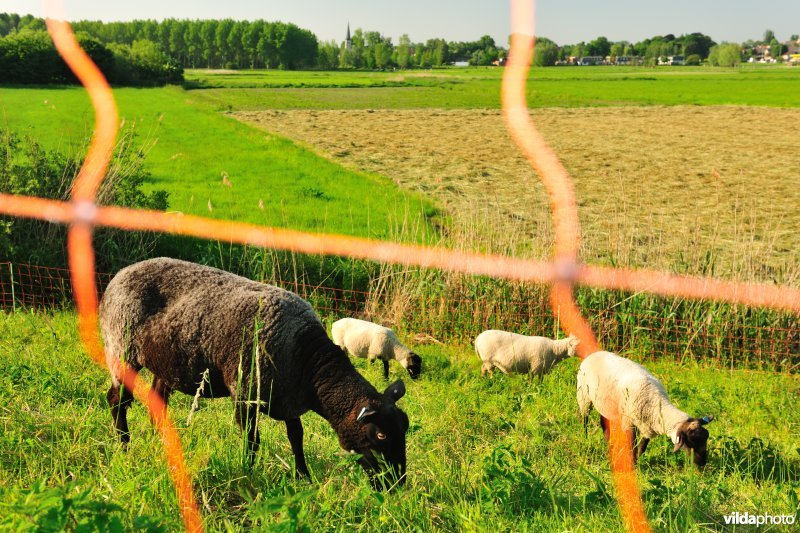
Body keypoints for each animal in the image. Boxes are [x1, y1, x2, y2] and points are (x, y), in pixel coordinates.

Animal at [99, 258, 410, 486]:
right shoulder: (245, 394)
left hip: (166, 363)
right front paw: (249, 472)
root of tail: (119, 275)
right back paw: (124, 446)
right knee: (117, 400)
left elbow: (296, 437)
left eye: (404, 428)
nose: (397, 484)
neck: (305, 357)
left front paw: (303, 476)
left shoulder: (288, 397)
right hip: (121, 348)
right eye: (381, 436)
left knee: (156, 400)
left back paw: (161, 441)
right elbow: (252, 441)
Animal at [576, 352, 712, 468]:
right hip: (583, 396)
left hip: (605, 404)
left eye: (706, 438)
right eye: (691, 442)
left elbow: (641, 448)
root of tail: (594, 354)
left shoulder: (647, 428)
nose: (702, 463)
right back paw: (585, 437)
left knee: (604, 423)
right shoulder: (629, 423)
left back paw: (609, 442)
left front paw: (636, 463)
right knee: (584, 419)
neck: (656, 403)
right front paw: (631, 466)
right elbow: (632, 447)